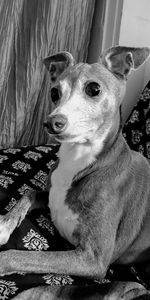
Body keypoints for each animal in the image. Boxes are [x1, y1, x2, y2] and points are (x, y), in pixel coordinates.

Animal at [0, 45, 150, 298]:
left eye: (94, 89)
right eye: (54, 92)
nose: (52, 123)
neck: (80, 162)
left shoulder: (93, 259)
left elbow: (17, 256)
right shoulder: (48, 193)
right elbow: (29, 192)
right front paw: (3, 225)